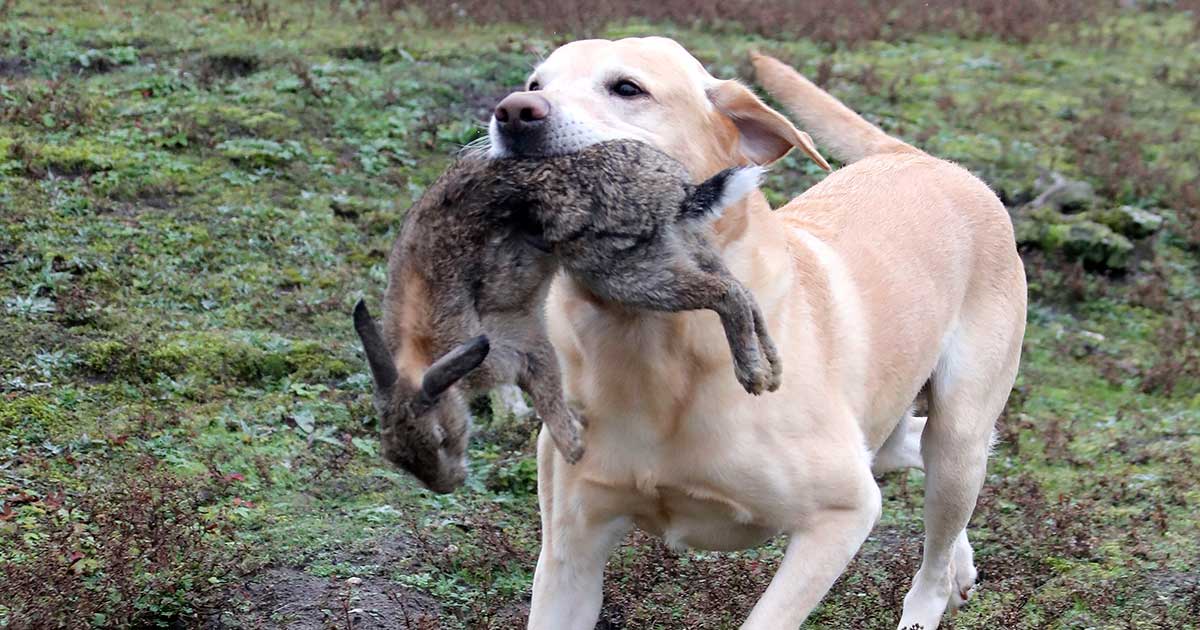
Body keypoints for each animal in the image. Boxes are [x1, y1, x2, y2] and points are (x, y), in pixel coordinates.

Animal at [482, 39, 1027, 628]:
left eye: (627, 88)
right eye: (535, 84)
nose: (514, 113)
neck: (654, 343)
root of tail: (919, 158)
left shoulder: (843, 514)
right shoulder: (570, 556)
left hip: (958, 438)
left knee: (937, 525)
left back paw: (933, 593)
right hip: (886, 427)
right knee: (916, 451)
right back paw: (962, 565)